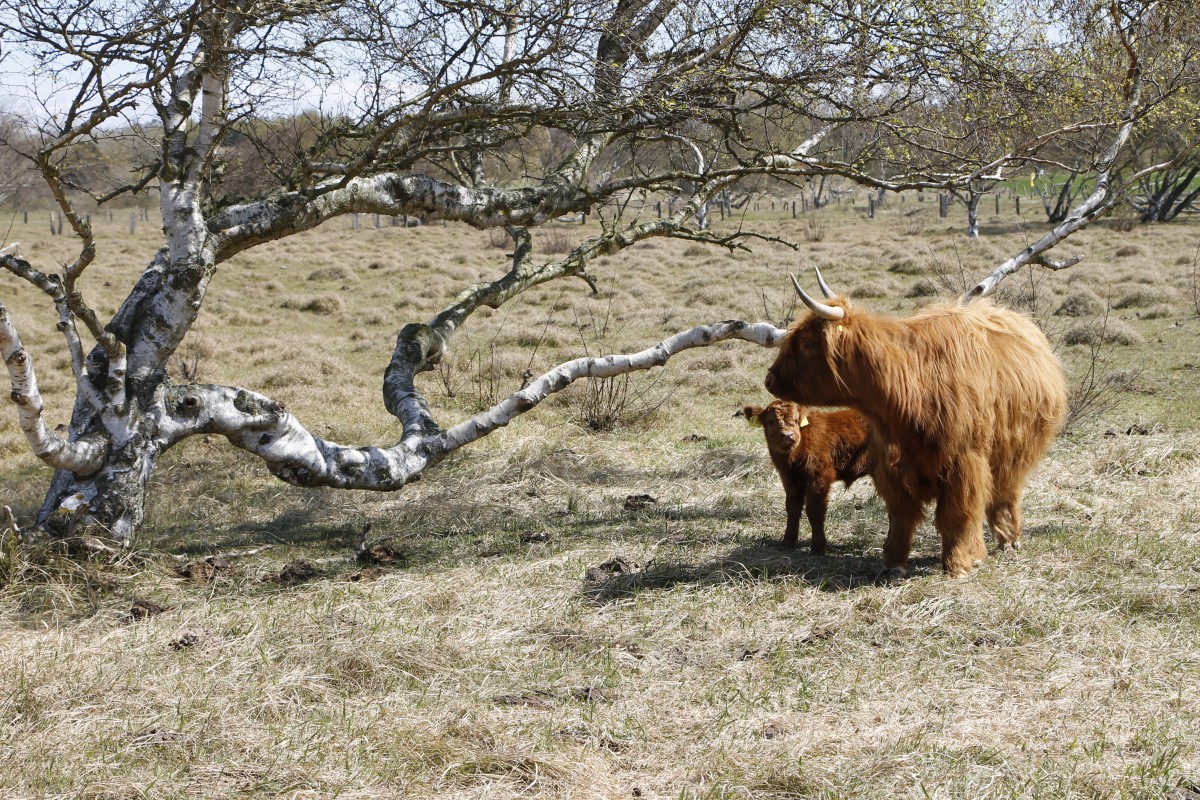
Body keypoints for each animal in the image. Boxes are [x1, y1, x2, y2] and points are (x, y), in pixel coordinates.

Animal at [739, 402, 873, 554]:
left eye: (796, 421)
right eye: (770, 421)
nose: (787, 435)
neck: (792, 460)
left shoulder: (819, 477)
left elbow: (815, 511)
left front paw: (818, 548)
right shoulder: (789, 480)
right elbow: (792, 509)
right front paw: (788, 541)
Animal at [763, 272, 1065, 578]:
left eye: (807, 343)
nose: (769, 379)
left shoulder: (962, 462)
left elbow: (956, 515)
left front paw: (956, 565)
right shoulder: (890, 464)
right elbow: (902, 515)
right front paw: (895, 563)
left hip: (1012, 452)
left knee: (1003, 493)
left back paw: (1007, 540)